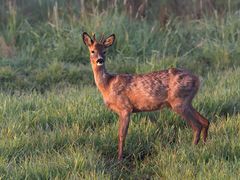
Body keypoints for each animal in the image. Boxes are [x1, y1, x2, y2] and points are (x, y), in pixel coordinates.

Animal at [83, 32, 210, 160]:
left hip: (179, 102)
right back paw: (203, 146)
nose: (100, 60)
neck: (107, 85)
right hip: (186, 101)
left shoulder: (125, 108)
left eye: (105, 51)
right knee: (205, 121)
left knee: (197, 126)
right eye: (92, 51)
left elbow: (121, 135)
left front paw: (119, 159)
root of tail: (197, 79)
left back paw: (193, 148)